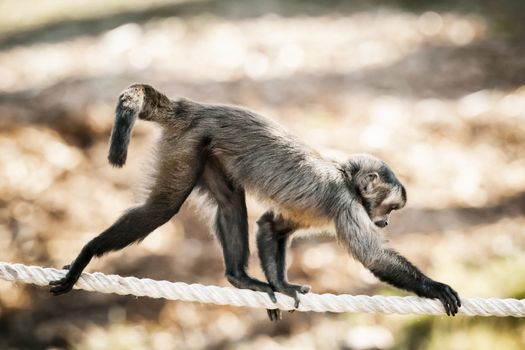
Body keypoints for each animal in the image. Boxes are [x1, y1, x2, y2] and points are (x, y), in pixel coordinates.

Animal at [48, 84, 458, 320]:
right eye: (388, 210)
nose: (385, 223)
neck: (345, 176)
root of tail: (192, 107)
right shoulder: (345, 204)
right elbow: (374, 259)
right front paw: (436, 287)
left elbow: (269, 226)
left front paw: (281, 285)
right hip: (187, 143)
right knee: (162, 209)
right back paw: (88, 253)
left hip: (205, 149)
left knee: (231, 202)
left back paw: (241, 278)